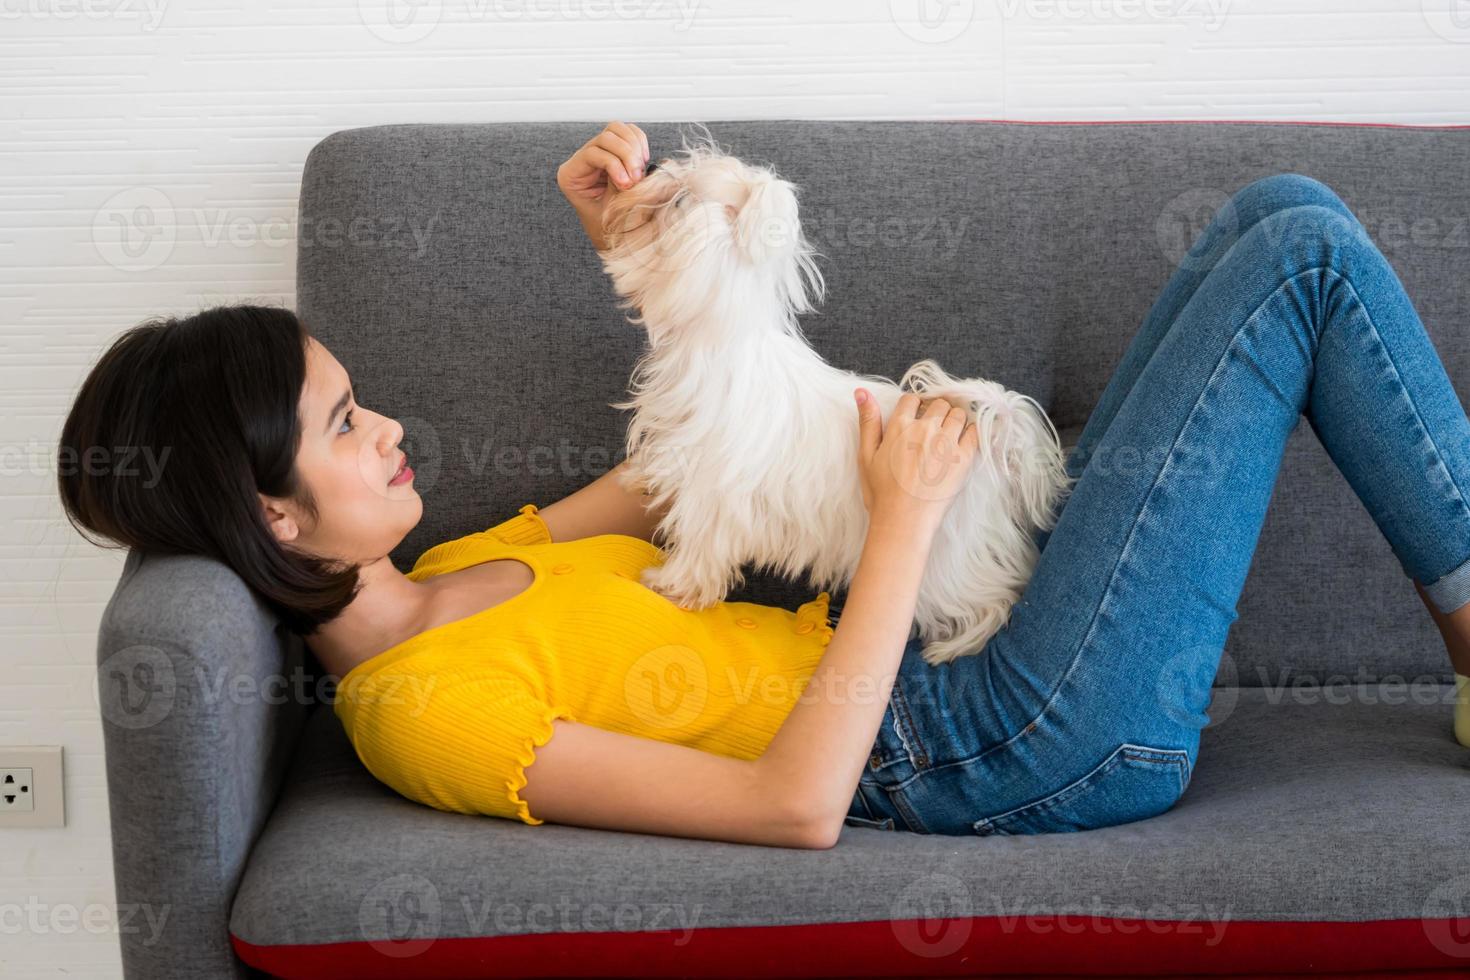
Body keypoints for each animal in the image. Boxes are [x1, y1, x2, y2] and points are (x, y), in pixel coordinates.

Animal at [593, 128, 1070, 667]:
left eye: (679, 198)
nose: (650, 166)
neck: (726, 335)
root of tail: (992, 435)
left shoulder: (711, 493)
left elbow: (700, 544)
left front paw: (670, 585)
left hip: (949, 562)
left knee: (1000, 592)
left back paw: (954, 645)